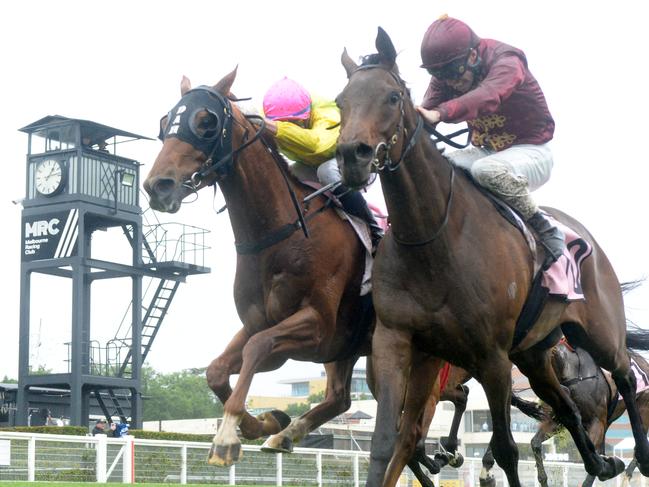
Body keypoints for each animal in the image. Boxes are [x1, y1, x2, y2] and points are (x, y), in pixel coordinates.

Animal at [334, 27, 648, 487]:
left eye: (392, 96)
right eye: (341, 100)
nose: (351, 155)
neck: (431, 238)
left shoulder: (491, 357)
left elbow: (504, 449)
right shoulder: (395, 341)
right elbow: (385, 443)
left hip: (599, 333)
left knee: (624, 374)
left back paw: (638, 453)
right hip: (533, 353)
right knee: (566, 406)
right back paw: (599, 461)